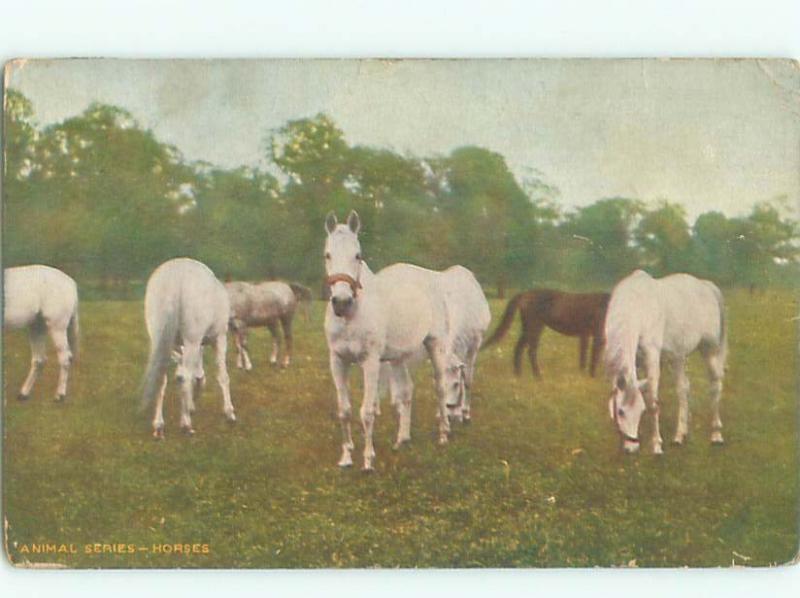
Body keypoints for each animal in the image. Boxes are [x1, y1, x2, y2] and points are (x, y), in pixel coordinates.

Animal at [3, 266, 78, 404]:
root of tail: (70, 282)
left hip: (57, 327)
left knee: (64, 358)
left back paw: (59, 396)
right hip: (37, 327)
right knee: (39, 360)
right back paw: (23, 395)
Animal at [141, 258, 236, 440]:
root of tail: (175, 279)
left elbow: (187, 375)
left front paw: (190, 404)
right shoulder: (220, 338)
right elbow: (222, 376)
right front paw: (229, 413)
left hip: (159, 338)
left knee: (163, 377)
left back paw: (159, 426)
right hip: (193, 337)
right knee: (186, 375)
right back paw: (186, 425)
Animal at [322, 212, 460, 474]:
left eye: (358, 255)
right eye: (327, 254)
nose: (341, 302)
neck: (352, 316)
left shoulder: (370, 362)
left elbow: (366, 412)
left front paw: (367, 461)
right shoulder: (337, 361)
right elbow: (344, 411)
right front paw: (346, 457)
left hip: (435, 345)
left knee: (440, 387)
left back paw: (443, 435)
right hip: (399, 358)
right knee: (406, 391)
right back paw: (402, 439)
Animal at [482, 290, 612, 380]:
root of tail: (525, 293)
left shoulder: (585, 334)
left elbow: (584, 356)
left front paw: (582, 375)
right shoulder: (598, 335)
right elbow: (594, 357)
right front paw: (592, 377)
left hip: (528, 329)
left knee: (519, 348)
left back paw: (518, 375)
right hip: (535, 327)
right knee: (531, 351)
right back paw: (538, 376)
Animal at [604, 272, 728, 454]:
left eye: (641, 411)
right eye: (620, 412)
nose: (632, 448)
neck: (635, 306)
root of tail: (707, 286)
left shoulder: (652, 356)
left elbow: (653, 403)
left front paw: (656, 445)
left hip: (710, 350)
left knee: (715, 387)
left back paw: (716, 435)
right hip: (678, 357)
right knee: (683, 389)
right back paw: (680, 435)